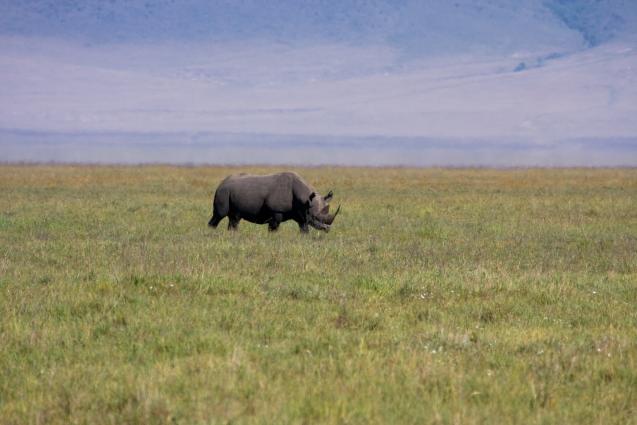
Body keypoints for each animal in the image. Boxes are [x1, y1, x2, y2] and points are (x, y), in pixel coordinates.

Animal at [207, 171, 338, 232]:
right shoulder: (276, 211)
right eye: (315, 217)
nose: (327, 229)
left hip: (231, 192)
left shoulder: (302, 214)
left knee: (234, 218)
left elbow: (304, 229)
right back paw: (211, 232)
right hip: (223, 192)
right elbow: (273, 228)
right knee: (219, 215)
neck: (305, 199)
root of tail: (222, 182)